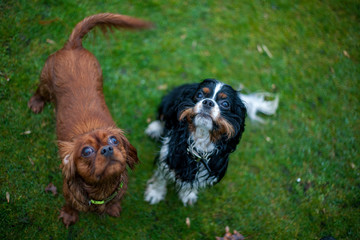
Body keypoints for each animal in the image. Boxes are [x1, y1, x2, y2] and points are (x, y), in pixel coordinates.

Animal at [28, 13, 151, 227]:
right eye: (86, 151)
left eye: (114, 140)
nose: (107, 149)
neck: (102, 190)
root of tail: (73, 46)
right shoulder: (69, 193)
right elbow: (70, 203)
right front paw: (69, 215)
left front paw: (113, 208)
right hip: (45, 81)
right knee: (40, 91)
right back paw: (36, 102)